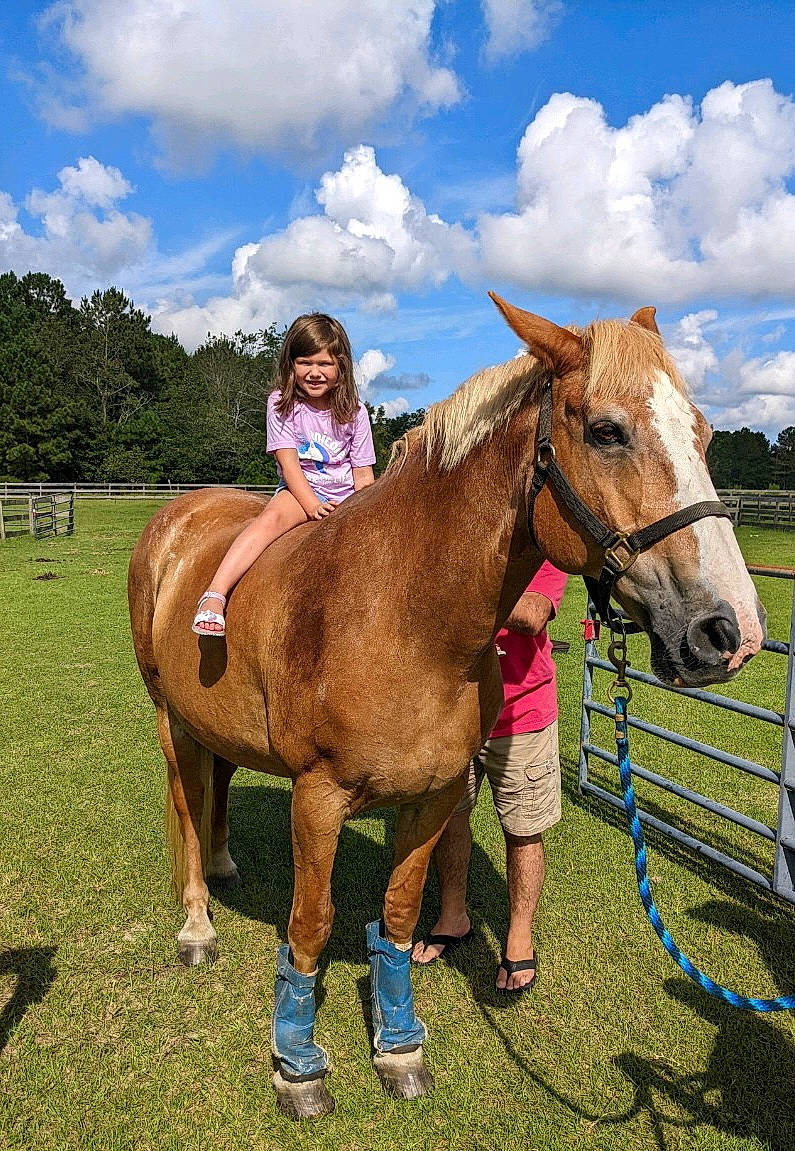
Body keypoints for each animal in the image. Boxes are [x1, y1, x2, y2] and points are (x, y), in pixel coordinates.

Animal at [128, 294, 765, 1119]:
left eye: (704, 433)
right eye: (605, 431)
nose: (729, 631)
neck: (404, 614)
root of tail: (178, 518)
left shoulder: (430, 796)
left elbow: (399, 919)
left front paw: (399, 1050)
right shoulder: (316, 798)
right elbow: (309, 927)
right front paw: (297, 1066)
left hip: (215, 723)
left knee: (221, 786)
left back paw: (225, 863)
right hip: (170, 719)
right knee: (186, 797)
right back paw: (199, 922)